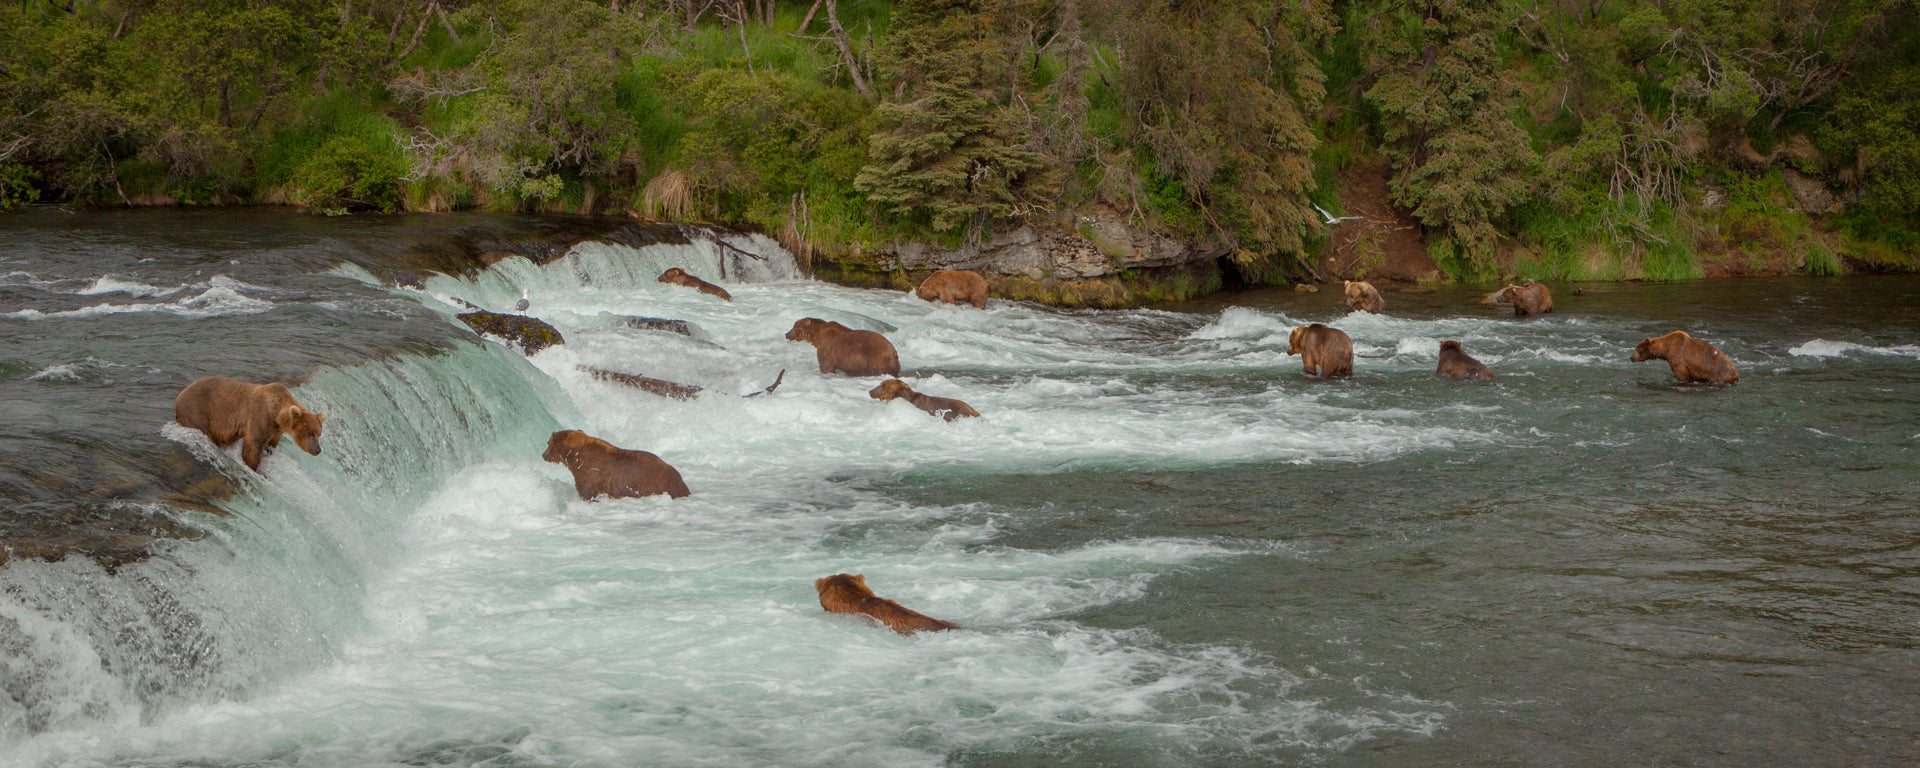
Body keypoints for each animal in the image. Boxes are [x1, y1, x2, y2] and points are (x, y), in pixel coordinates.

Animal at [174, 376, 328, 471]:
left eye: (319, 433)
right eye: (310, 432)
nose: (317, 450)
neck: (276, 413)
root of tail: (180, 395)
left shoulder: (276, 430)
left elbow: (270, 444)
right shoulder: (260, 417)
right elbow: (253, 446)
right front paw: (253, 466)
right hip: (198, 411)